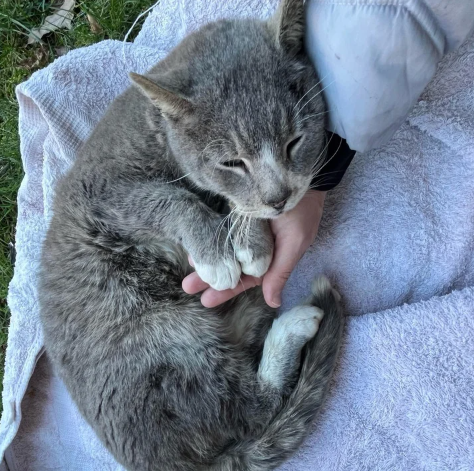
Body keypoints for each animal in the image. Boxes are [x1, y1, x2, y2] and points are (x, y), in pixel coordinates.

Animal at [39, 0, 344, 471]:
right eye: (233, 161)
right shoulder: (101, 190)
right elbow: (169, 198)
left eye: (295, 142)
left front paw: (251, 238)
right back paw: (292, 326)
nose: (280, 198)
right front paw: (218, 250)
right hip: (162, 331)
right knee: (253, 407)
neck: (156, 130)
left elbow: (239, 205)